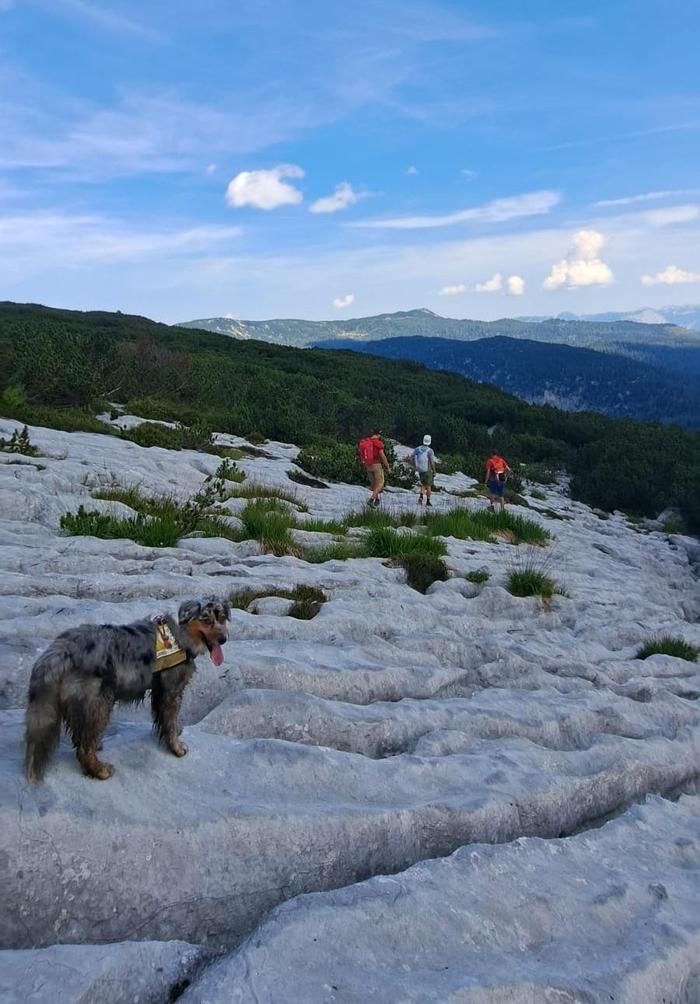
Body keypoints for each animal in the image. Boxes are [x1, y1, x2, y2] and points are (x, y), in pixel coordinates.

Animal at [24, 594, 228, 783]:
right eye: (205, 619)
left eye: (222, 617)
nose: (224, 639)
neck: (181, 631)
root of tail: (62, 649)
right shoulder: (171, 690)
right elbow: (169, 721)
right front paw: (176, 748)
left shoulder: (159, 690)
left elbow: (164, 720)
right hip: (100, 702)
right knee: (83, 747)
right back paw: (99, 769)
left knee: (79, 734)